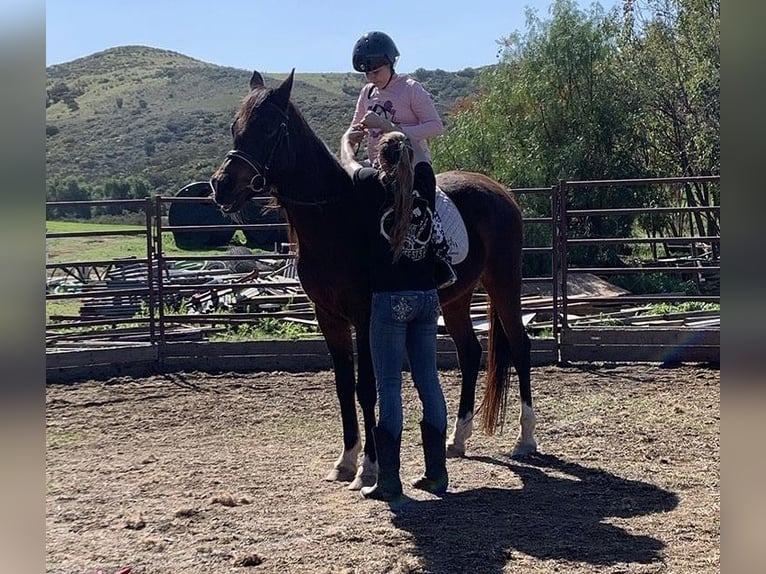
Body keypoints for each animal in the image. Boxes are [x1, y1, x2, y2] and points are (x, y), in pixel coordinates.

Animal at [207, 68, 536, 490]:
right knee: (470, 353)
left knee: (521, 346)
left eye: (267, 128)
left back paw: (525, 439)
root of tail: (501, 191)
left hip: (504, 283)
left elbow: (366, 387)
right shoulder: (328, 316)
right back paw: (456, 440)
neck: (335, 217)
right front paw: (345, 460)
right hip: (457, 298)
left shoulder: (365, 315)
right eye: (236, 127)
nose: (221, 185)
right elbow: (344, 386)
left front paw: (369, 467)